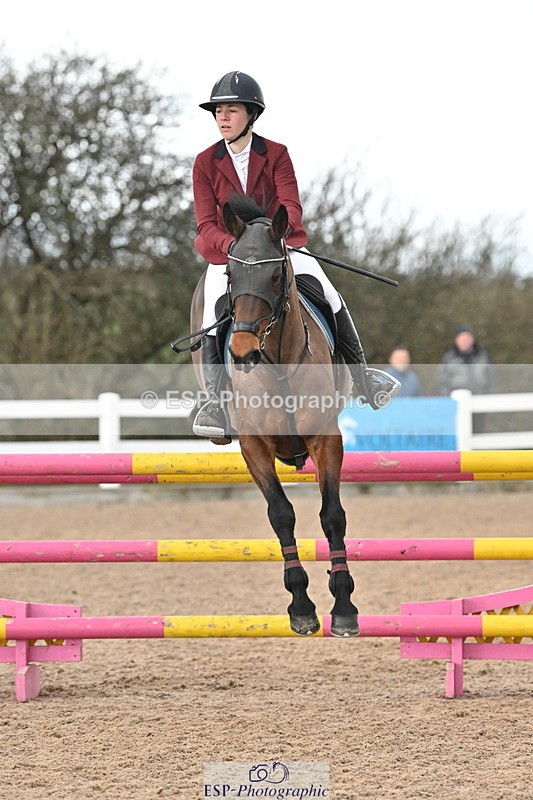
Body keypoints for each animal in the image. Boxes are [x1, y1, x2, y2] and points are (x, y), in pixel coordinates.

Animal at [190, 196, 359, 637]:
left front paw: (344, 606)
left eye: (276, 273)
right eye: (230, 275)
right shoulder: (254, 445)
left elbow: (332, 515)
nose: (244, 353)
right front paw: (301, 606)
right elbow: (281, 514)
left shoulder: (326, 438)